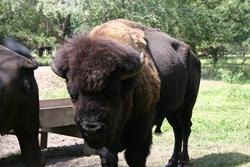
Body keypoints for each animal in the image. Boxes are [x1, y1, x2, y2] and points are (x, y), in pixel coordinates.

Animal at [51, 19, 201, 167]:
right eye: (72, 94)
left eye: (114, 91)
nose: (91, 129)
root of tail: (194, 57)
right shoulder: (107, 143)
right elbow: (108, 157)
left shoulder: (142, 128)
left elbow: (135, 157)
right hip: (172, 110)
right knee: (177, 131)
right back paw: (172, 161)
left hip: (187, 105)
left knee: (185, 129)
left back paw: (184, 161)